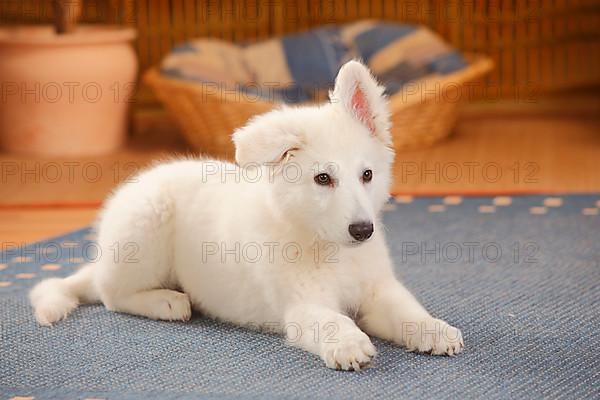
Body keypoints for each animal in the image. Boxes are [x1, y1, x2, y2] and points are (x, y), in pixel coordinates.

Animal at [30, 61, 464, 370]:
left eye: (367, 175)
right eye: (323, 178)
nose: (363, 230)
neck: (327, 246)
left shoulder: (378, 290)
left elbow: (408, 310)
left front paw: (434, 330)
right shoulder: (301, 306)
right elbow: (332, 321)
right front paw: (348, 342)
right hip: (145, 230)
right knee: (110, 295)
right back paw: (167, 302)